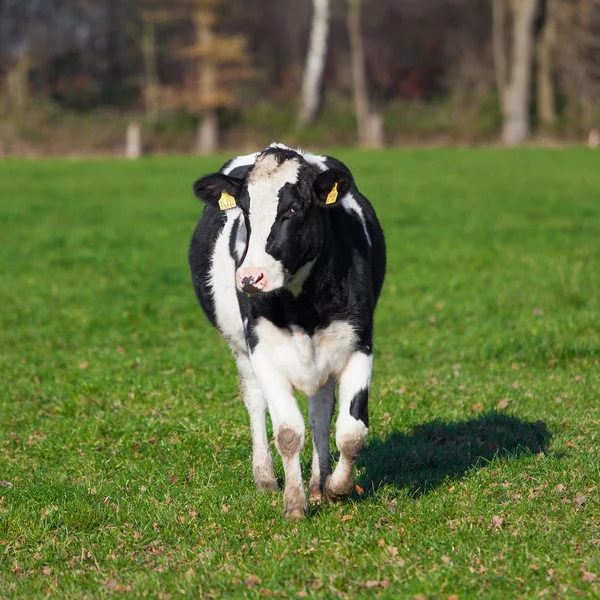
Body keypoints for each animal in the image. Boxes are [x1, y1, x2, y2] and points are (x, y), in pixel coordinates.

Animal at [188, 143, 386, 516]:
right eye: (244, 210)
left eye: (294, 208)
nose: (249, 278)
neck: (302, 308)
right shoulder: (262, 351)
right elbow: (288, 432)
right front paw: (294, 503)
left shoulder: (360, 342)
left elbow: (351, 431)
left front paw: (336, 488)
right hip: (240, 348)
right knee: (254, 398)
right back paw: (265, 477)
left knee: (321, 408)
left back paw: (318, 483)